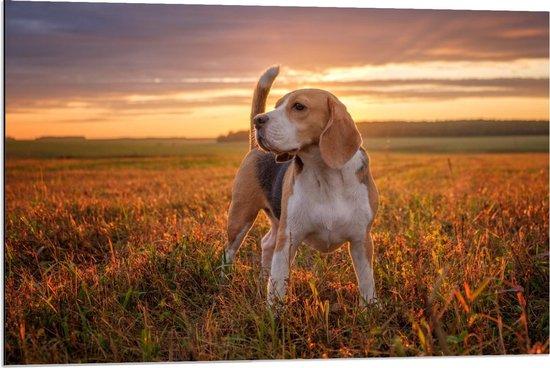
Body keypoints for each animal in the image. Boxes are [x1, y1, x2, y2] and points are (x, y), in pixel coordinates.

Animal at [220, 66, 380, 308]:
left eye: (298, 107)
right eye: (276, 106)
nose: (258, 120)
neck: (325, 175)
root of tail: (255, 148)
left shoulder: (362, 240)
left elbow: (366, 281)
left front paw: (371, 309)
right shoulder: (289, 238)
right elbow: (278, 282)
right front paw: (273, 314)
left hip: (276, 220)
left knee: (267, 243)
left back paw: (262, 278)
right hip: (241, 215)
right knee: (229, 251)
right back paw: (224, 280)